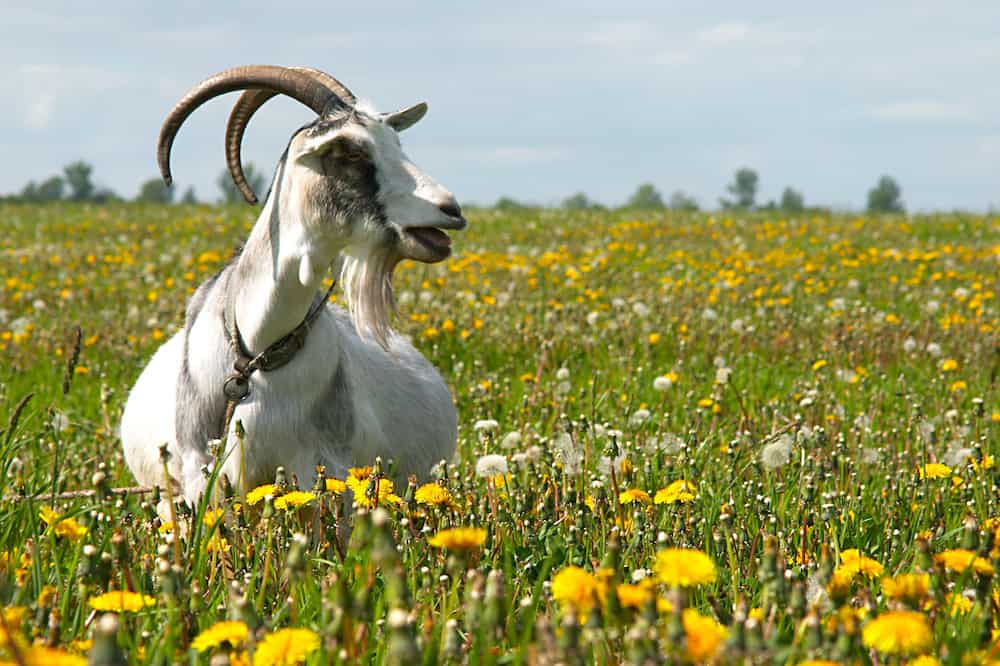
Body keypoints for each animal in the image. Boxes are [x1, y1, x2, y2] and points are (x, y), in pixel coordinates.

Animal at [120, 65, 466, 506]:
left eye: (396, 143)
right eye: (351, 151)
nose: (450, 209)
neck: (257, 350)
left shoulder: (323, 469)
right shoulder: (200, 472)